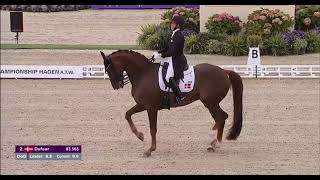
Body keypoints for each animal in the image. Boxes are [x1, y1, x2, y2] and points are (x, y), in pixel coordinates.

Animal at [100, 50, 242, 157]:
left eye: (110, 68)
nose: (116, 86)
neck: (143, 73)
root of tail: (224, 71)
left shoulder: (151, 107)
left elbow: (153, 129)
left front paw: (150, 150)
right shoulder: (143, 105)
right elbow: (127, 114)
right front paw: (140, 136)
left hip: (210, 102)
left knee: (221, 117)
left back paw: (213, 140)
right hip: (212, 103)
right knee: (221, 118)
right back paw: (215, 144)